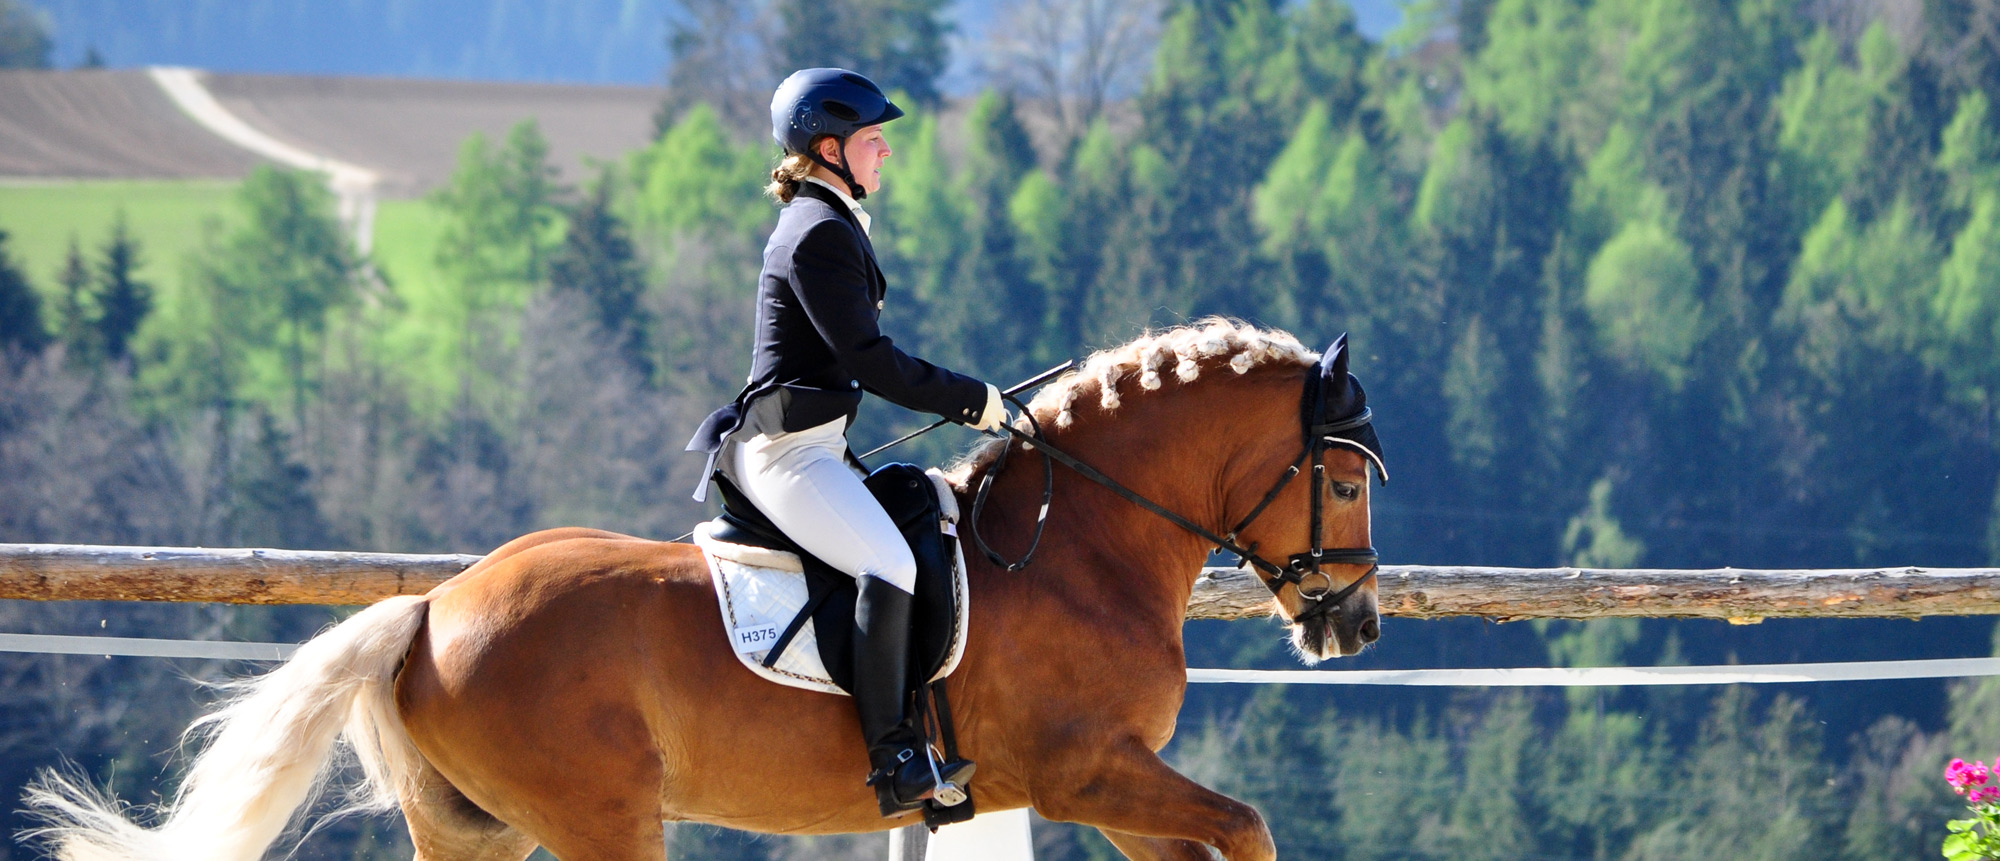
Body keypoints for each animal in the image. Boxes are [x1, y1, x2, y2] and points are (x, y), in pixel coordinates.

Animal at [31, 320, 1384, 856]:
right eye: (1344, 480)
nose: (1355, 622)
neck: (1077, 547)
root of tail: (429, 608)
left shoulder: (1109, 788)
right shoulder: (1087, 770)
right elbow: (1247, 828)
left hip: (473, 830)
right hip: (600, 821)